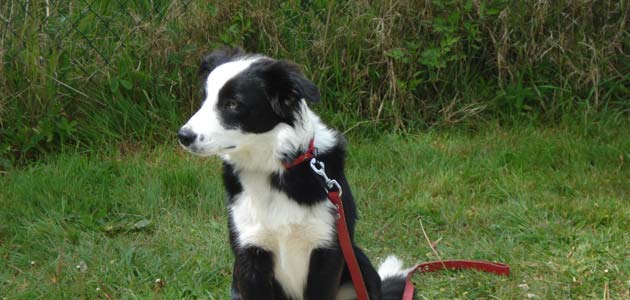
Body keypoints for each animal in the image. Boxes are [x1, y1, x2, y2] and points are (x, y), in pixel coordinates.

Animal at [178, 48, 414, 298]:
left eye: (232, 104)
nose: (183, 136)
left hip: (360, 263)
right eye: (204, 99)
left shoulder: (327, 253)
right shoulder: (250, 255)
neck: (273, 169)